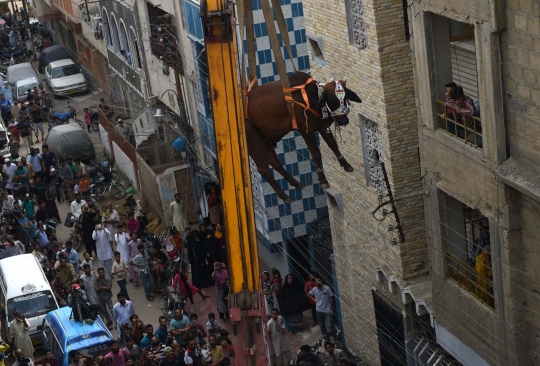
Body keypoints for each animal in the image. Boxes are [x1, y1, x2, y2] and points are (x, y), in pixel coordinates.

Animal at [247, 71, 360, 203]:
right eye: (331, 100)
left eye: (345, 98)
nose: (343, 121)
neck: (310, 97)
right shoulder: (306, 131)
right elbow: (316, 154)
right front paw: (322, 180)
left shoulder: (322, 126)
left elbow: (333, 145)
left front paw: (346, 165)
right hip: (253, 141)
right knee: (263, 169)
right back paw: (285, 196)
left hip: (264, 140)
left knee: (275, 161)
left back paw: (296, 184)